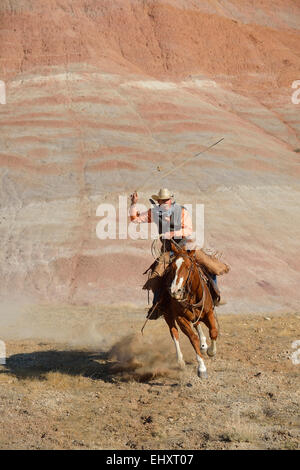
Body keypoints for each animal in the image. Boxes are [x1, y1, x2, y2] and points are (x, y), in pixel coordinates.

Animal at [158, 242, 219, 378]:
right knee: (174, 333)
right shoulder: (181, 319)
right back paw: (180, 361)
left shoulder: (209, 312)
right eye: (172, 266)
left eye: (188, 266)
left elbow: (213, 331)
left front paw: (211, 351)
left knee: (197, 324)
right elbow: (193, 338)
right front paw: (202, 368)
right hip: (168, 316)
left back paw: (203, 345)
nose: (175, 291)